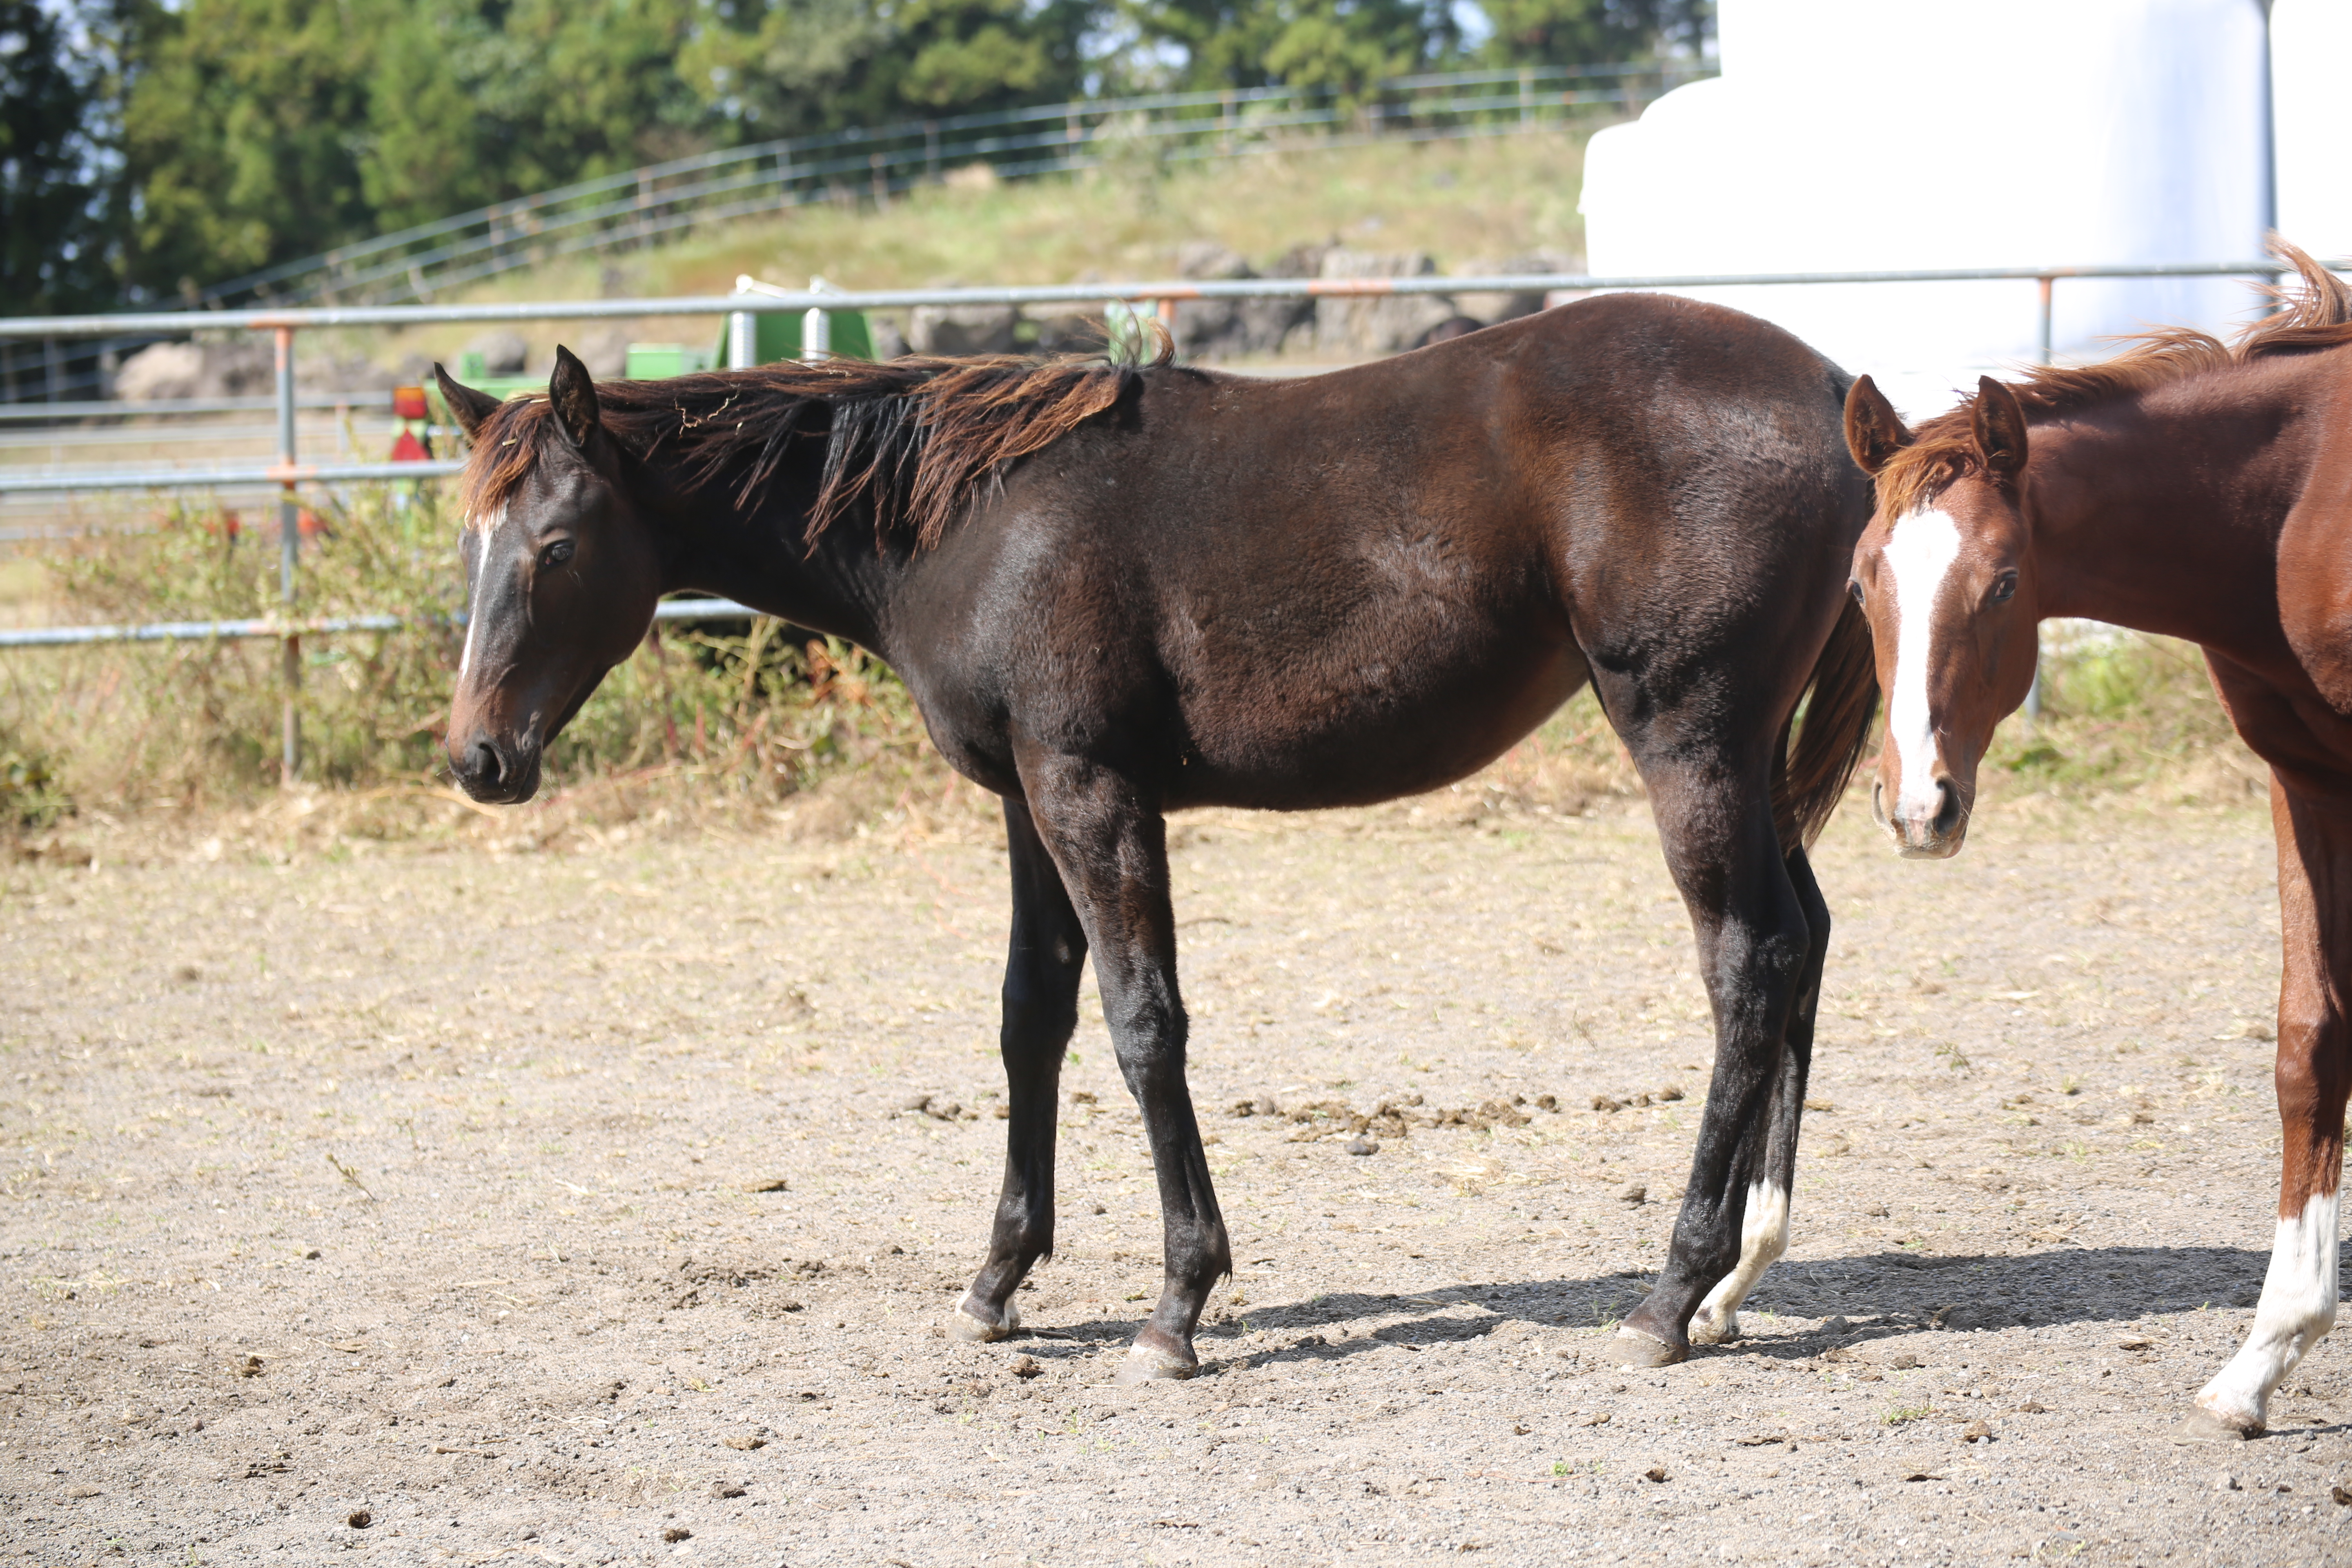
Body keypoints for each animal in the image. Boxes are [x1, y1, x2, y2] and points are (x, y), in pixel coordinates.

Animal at [437, 291, 1872, 1373]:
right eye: (473, 547)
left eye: (556, 545)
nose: (478, 757)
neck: (970, 521)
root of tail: (1835, 397)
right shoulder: (1028, 800)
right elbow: (1031, 1017)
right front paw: (997, 1280)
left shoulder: (1091, 790)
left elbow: (1143, 1025)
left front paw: (1178, 1304)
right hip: (1748, 760)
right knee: (1801, 943)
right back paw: (1738, 1276)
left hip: (1687, 741)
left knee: (1745, 964)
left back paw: (1668, 1296)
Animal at [1844, 248, 2352, 1448]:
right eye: (1859, 583)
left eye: (2002, 582)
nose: (1918, 806)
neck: (2296, 505)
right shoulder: (2305, 783)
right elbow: (2309, 1042)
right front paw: (2262, 1359)